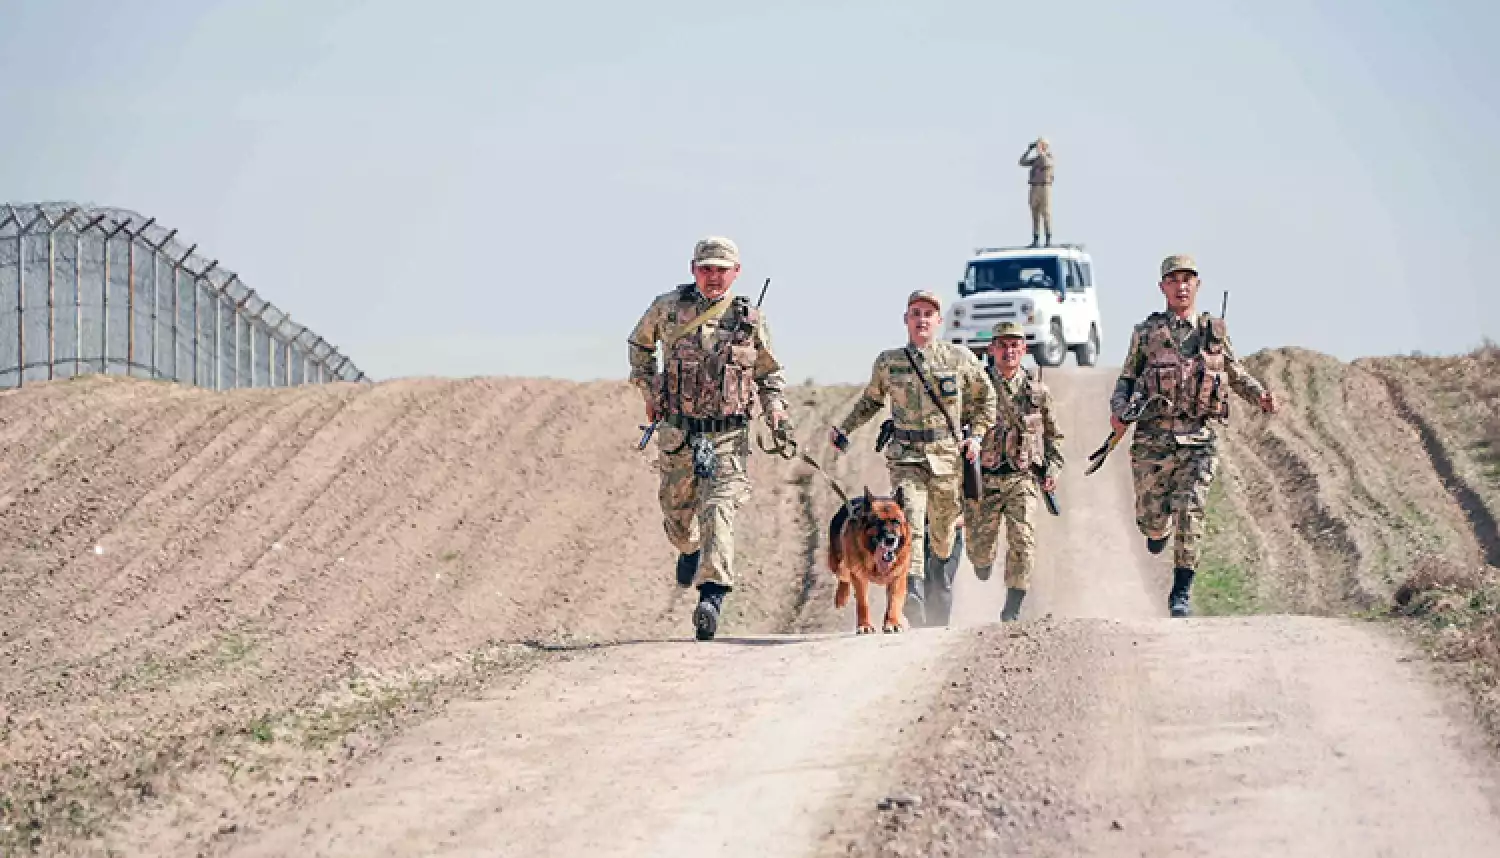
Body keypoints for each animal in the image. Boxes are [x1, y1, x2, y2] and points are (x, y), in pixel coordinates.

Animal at [828, 486, 906, 633]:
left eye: (896, 522)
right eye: (878, 522)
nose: (890, 539)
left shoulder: (898, 577)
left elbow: (894, 601)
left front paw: (892, 622)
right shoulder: (859, 577)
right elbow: (862, 603)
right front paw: (865, 625)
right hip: (837, 563)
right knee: (843, 574)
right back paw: (841, 596)